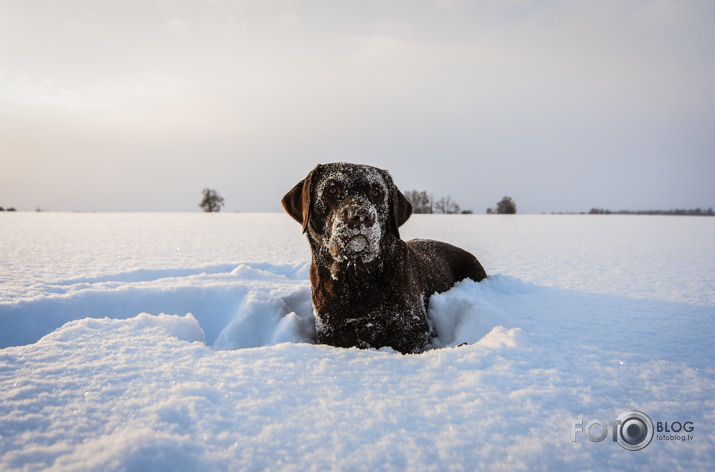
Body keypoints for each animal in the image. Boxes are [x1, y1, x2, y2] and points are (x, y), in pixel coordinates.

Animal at [282, 164, 490, 352]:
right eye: (332, 189)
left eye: (376, 192)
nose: (361, 215)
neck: (357, 279)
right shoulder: (332, 333)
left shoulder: (414, 331)